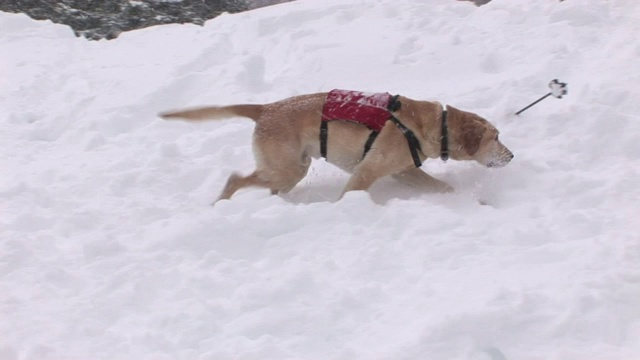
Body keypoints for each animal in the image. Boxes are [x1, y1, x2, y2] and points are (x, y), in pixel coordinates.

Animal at [161, 90, 516, 202]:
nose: (512, 155)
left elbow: (442, 188)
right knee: (235, 179)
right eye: (496, 136)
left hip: (290, 170)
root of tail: (265, 108)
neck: (430, 125)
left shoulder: (405, 173)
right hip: (288, 169)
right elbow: (351, 192)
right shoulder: (367, 171)